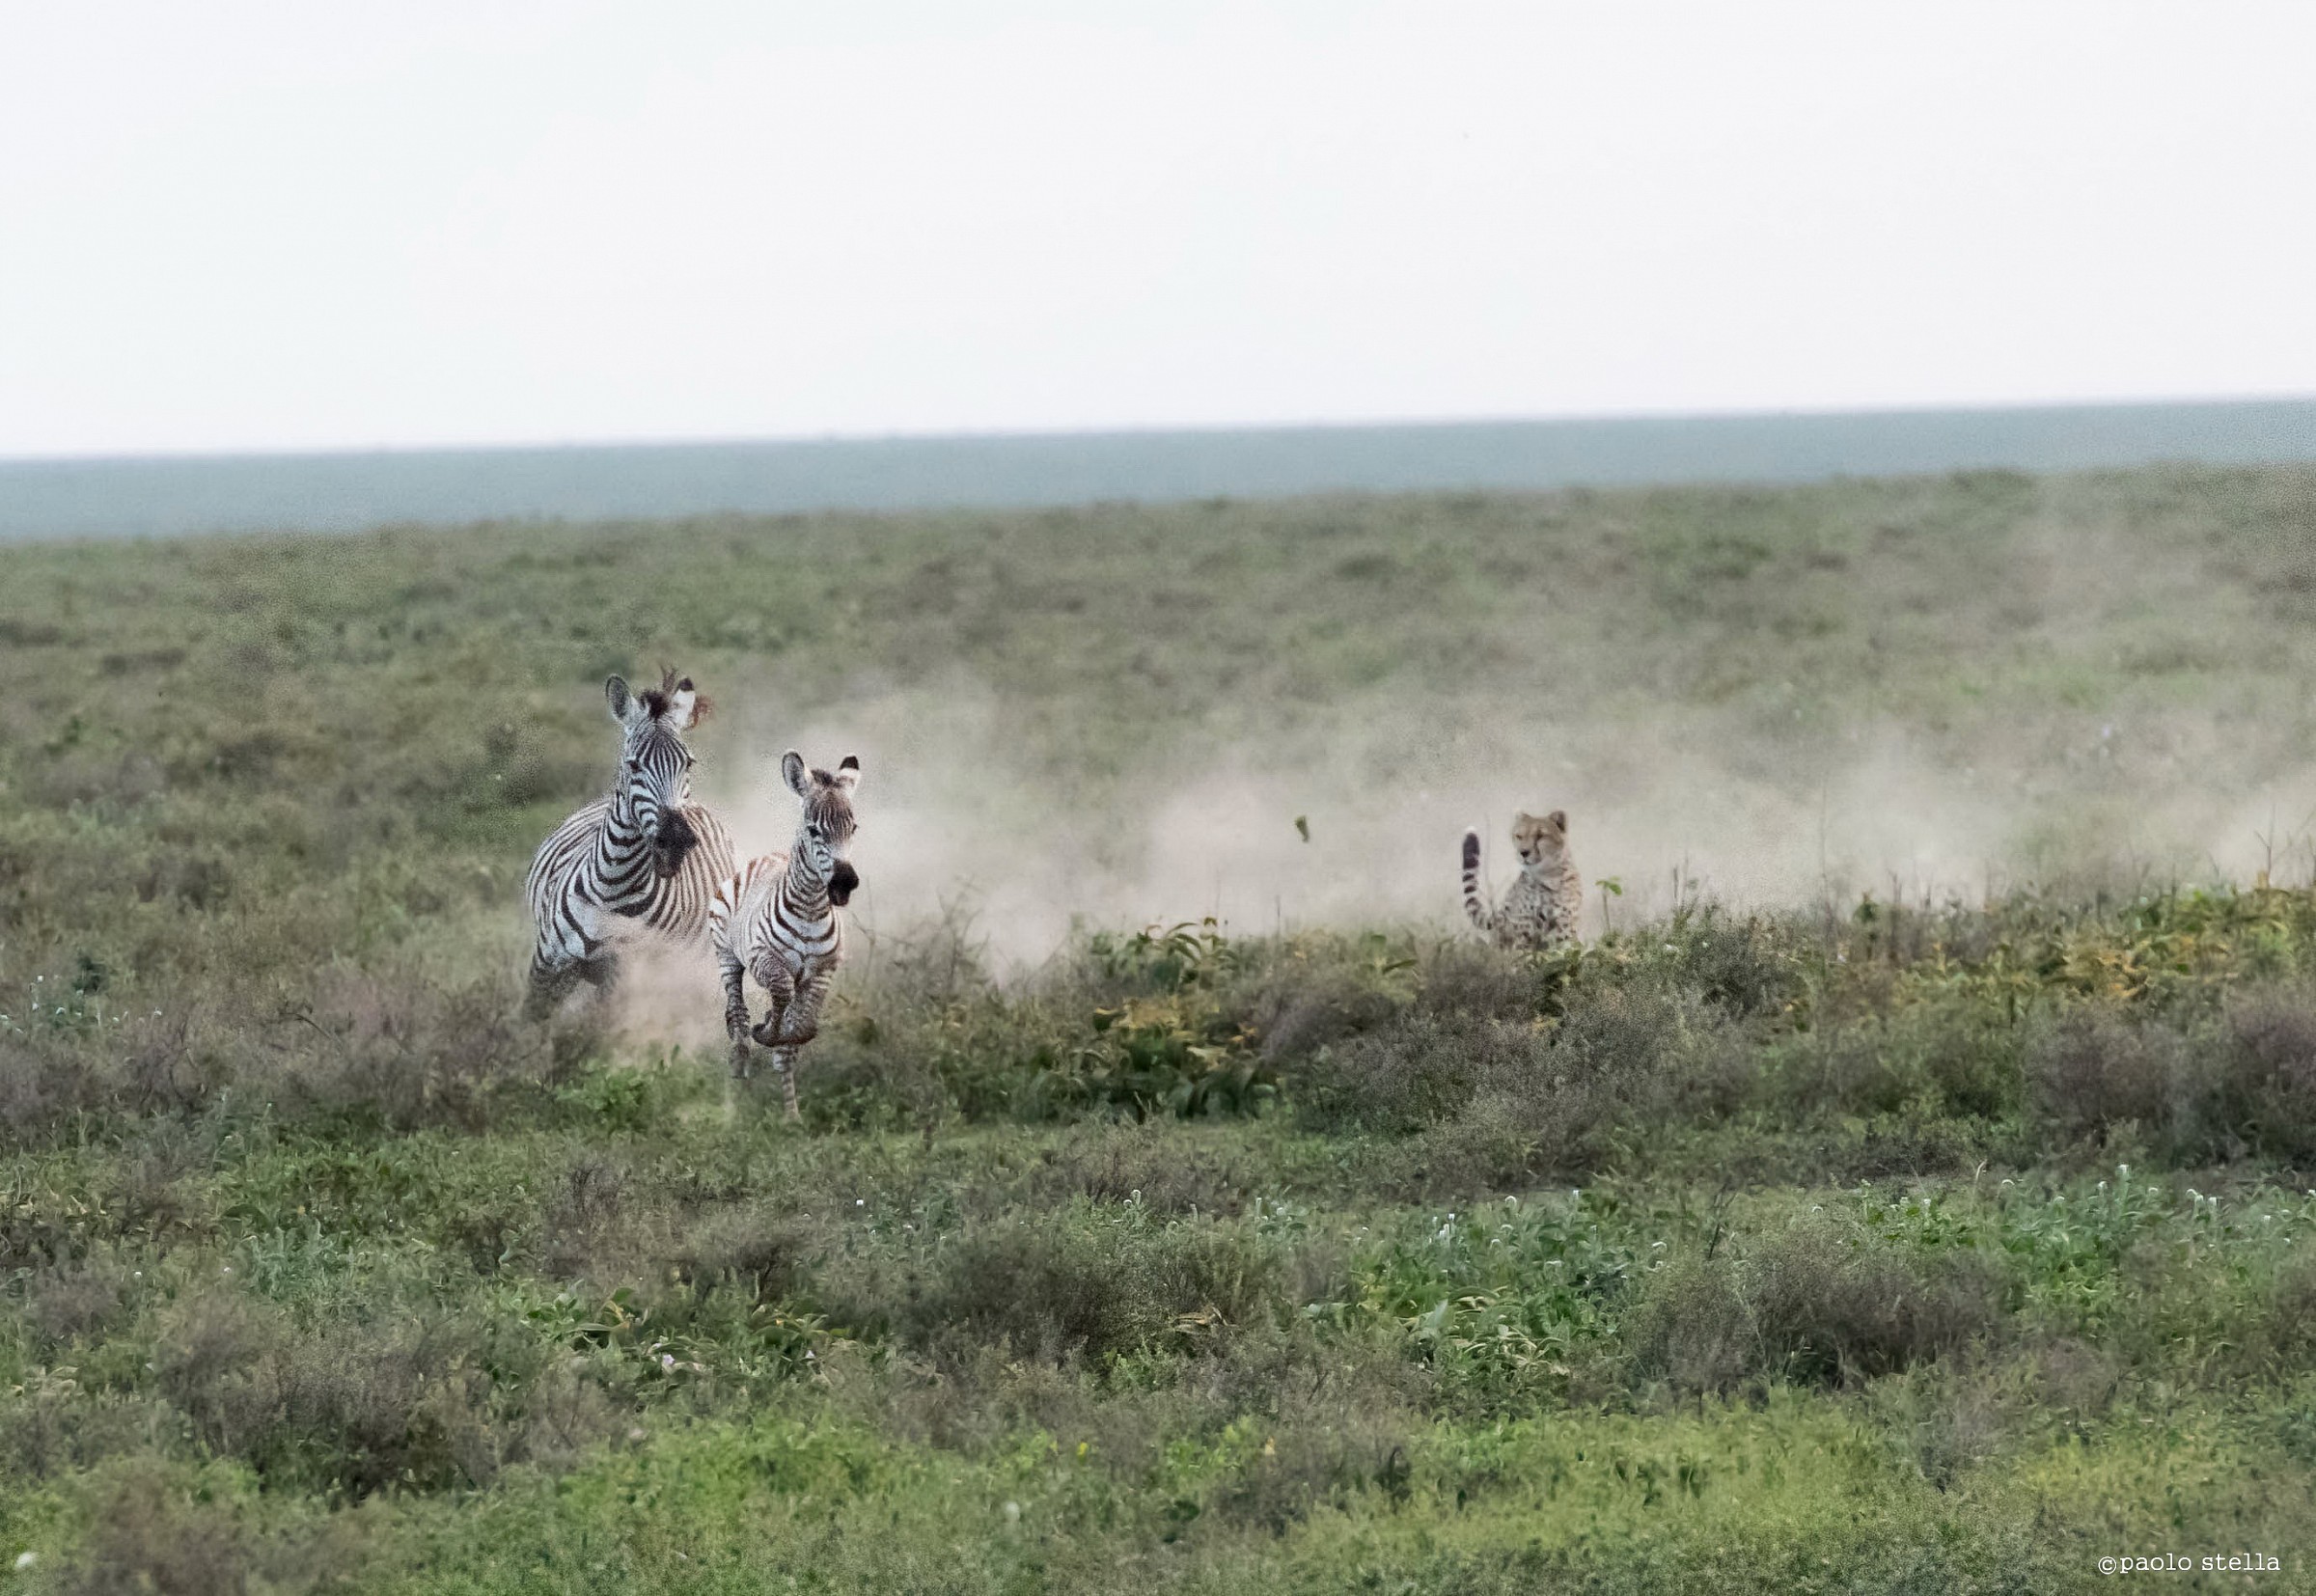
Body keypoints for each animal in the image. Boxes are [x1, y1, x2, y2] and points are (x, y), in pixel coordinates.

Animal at [522, 671, 737, 1020]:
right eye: (634, 765)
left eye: (688, 764)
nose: (676, 840)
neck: (612, 887)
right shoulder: (547, 962)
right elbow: (527, 1020)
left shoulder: (621, 977)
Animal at [710, 750, 861, 1121]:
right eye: (814, 830)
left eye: (853, 828)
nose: (845, 882)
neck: (810, 910)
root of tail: (768, 856)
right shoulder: (765, 960)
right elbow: (779, 995)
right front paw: (767, 1029)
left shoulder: (822, 971)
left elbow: (802, 1026)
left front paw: (785, 1034)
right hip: (727, 956)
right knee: (736, 1010)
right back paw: (740, 1059)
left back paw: (791, 1115)